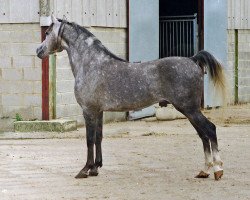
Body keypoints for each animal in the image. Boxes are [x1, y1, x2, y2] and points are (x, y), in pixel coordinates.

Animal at [36, 16, 225, 180]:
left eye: (47, 32)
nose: (38, 51)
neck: (92, 64)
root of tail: (193, 60)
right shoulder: (99, 112)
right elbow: (98, 138)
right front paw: (96, 168)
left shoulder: (88, 111)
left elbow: (89, 140)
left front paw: (85, 170)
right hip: (189, 111)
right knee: (203, 135)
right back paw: (204, 171)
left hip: (190, 109)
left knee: (210, 130)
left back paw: (217, 169)